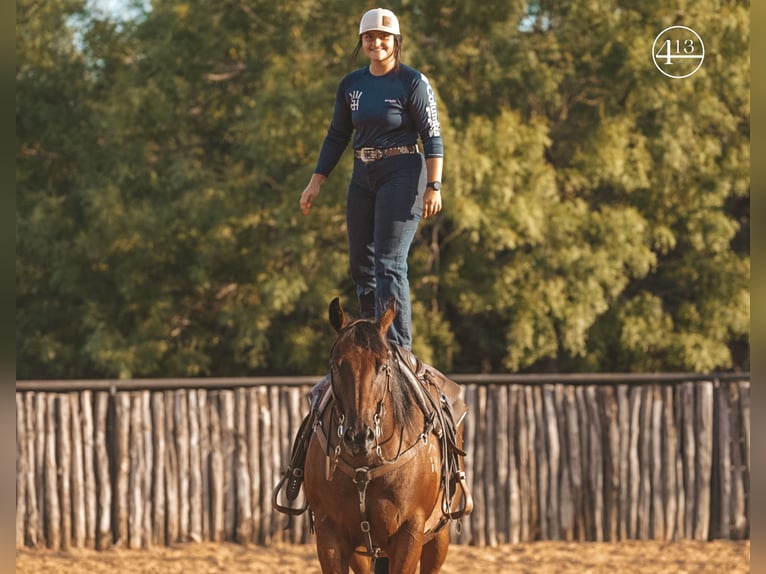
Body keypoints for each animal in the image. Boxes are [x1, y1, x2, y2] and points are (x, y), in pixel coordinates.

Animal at [302, 300, 472, 574]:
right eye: (336, 365)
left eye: (383, 366)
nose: (359, 436)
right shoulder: (330, 534)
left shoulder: (410, 534)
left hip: (438, 536)